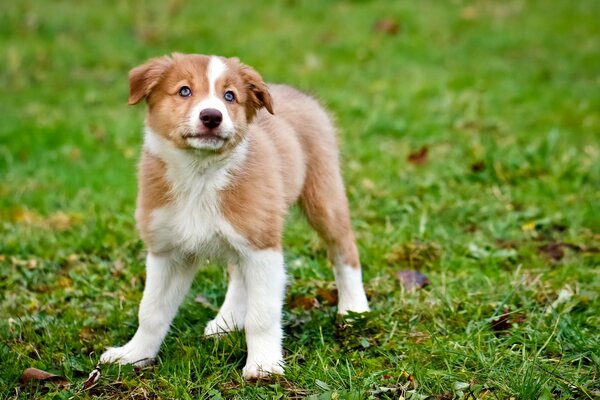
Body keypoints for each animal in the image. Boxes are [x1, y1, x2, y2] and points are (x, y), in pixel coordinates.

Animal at [101, 53, 368, 378]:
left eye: (230, 96)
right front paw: (134, 355)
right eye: (184, 90)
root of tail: (297, 92)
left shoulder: (263, 247)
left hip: (323, 197)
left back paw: (354, 309)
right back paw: (225, 322)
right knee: (239, 274)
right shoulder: (167, 251)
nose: (211, 117)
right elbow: (151, 311)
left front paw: (263, 365)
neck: (200, 175)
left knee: (344, 249)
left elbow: (262, 315)